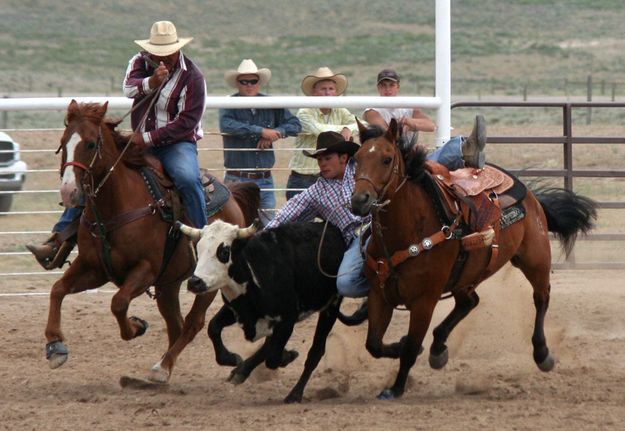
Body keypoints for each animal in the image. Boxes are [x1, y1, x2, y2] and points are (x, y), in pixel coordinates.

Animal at [44, 100, 258, 382]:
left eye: (90, 144)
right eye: (63, 142)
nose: (69, 192)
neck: (116, 207)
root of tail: (232, 197)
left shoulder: (146, 270)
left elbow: (118, 303)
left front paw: (136, 326)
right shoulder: (94, 267)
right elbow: (58, 289)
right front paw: (55, 345)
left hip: (207, 281)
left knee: (193, 323)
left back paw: (164, 367)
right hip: (169, 283)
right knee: (176, 324)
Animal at [348, 119, 596, 402]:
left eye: (387, 159)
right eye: (356, 158)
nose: (359, 200)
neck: (407, 230)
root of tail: (529, 193)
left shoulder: (424, 300)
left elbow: (411, 347)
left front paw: (396, 388)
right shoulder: (379, 294)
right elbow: (374, 344)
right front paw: (402, 350)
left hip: (535, 258)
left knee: (541, 298)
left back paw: (542, 353)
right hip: (467, 274)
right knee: (469, 302)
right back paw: (438, 348)